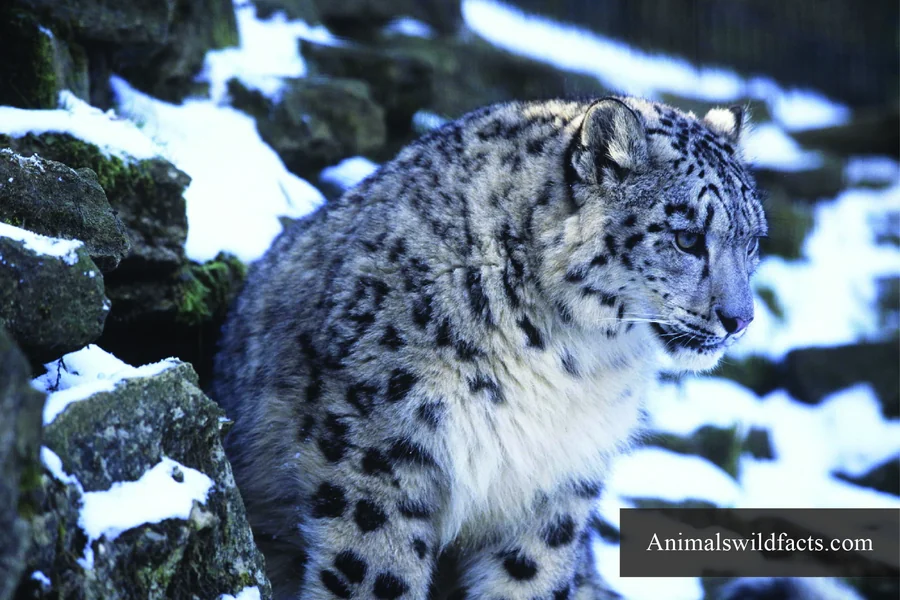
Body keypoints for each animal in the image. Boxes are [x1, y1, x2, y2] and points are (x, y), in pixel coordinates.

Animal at [213, 95, 766, 599]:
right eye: (687, 238)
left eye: (752, 242)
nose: (740, 319)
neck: (573, 361)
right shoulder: (382, 453)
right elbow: (377, 572)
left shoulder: (555, 487)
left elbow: (528, 576)